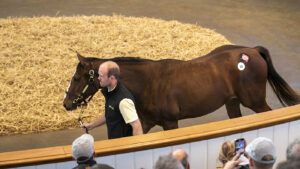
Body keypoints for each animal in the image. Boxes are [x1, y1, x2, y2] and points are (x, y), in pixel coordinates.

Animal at [62, 45, 298, 133]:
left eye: (76, 77)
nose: (66, 104)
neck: (149, 82)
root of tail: (253, 51)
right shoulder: (147, 122)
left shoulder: (170, 123)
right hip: (232, 103)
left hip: (255, 102)